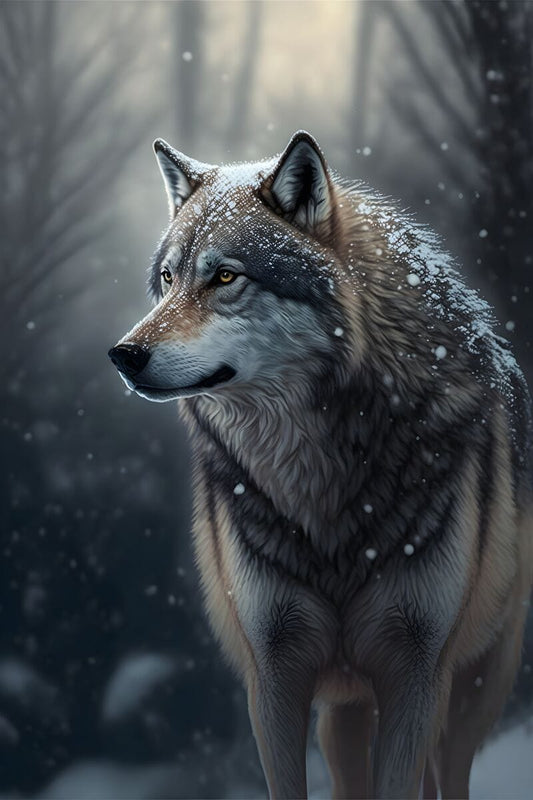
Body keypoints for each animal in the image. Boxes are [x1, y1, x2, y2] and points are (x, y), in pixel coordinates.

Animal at [109, 131, 533, 799]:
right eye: (169, 278)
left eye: (224, 276)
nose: (123, 355)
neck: (318, 482)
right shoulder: (273, 674)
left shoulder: (417, 672)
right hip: (345, 709)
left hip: (476, 683)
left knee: (452, 769)